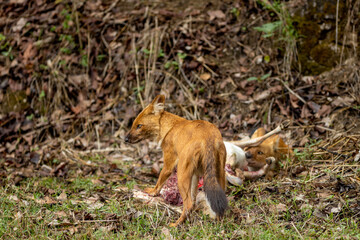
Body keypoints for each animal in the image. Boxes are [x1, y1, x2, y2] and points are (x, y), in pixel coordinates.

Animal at [125, 94, 228, 227]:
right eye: (133, 124)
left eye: (139, 126)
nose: (125, 139)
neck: (169, 127)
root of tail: (208, 138)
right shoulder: (196, 174)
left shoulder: (169, 163)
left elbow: (160, 180)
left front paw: (152, 192)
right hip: (219, 173)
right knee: (214, 202)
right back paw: (218, 221)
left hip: (181, 175)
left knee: (188, 204)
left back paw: (176, 224)